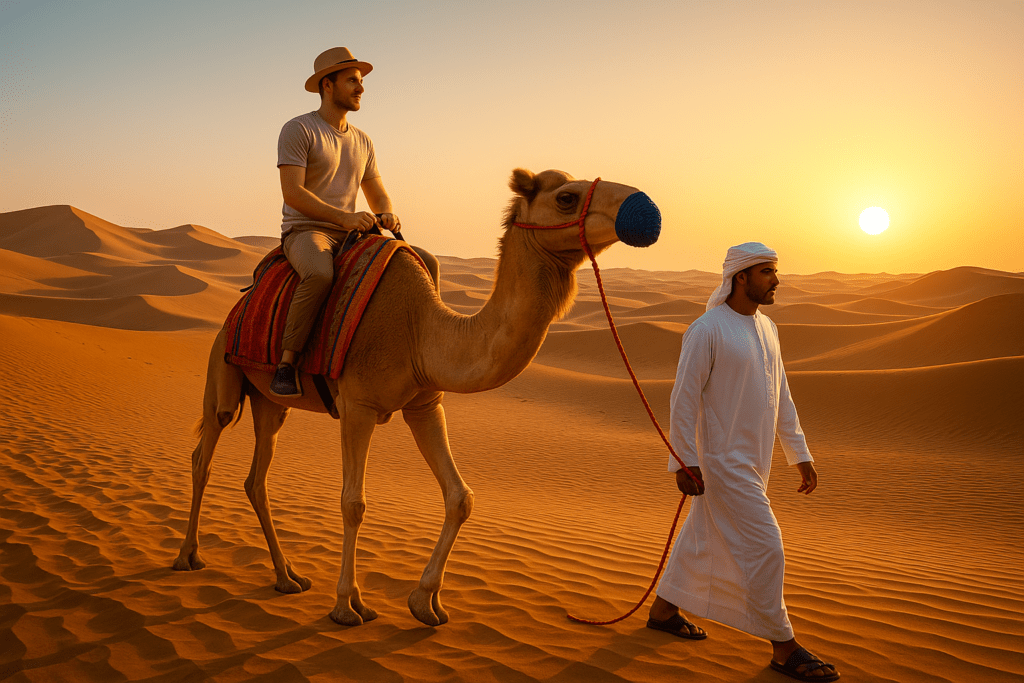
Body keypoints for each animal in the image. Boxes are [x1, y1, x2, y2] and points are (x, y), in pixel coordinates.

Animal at [173, 168, 662, 626]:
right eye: (566, 198)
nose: (645, 210)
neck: (420, 330)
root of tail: (239, 303)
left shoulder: (425, 405)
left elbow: (460, 497)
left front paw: (425, 601)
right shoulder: (358, 407)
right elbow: (353, 503)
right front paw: (347, 605)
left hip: (269, 402)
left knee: (256, 478)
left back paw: (286, 577)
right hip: (224, 374)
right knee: (203, 454)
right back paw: (187, 557)